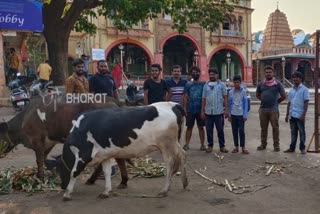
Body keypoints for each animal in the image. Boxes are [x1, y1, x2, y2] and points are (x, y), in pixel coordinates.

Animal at [54, 102, 189, 201]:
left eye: (59, 170)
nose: (62, 186)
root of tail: (173, 104)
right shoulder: (105, 155)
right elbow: (107, 172)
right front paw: (106, 191)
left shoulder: (84, 154)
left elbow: (74, 172)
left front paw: (67, 194)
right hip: (173, 143)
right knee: (182, 154)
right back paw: (184, 182)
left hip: (167, 145)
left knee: (170, 163)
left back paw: (164, 190)